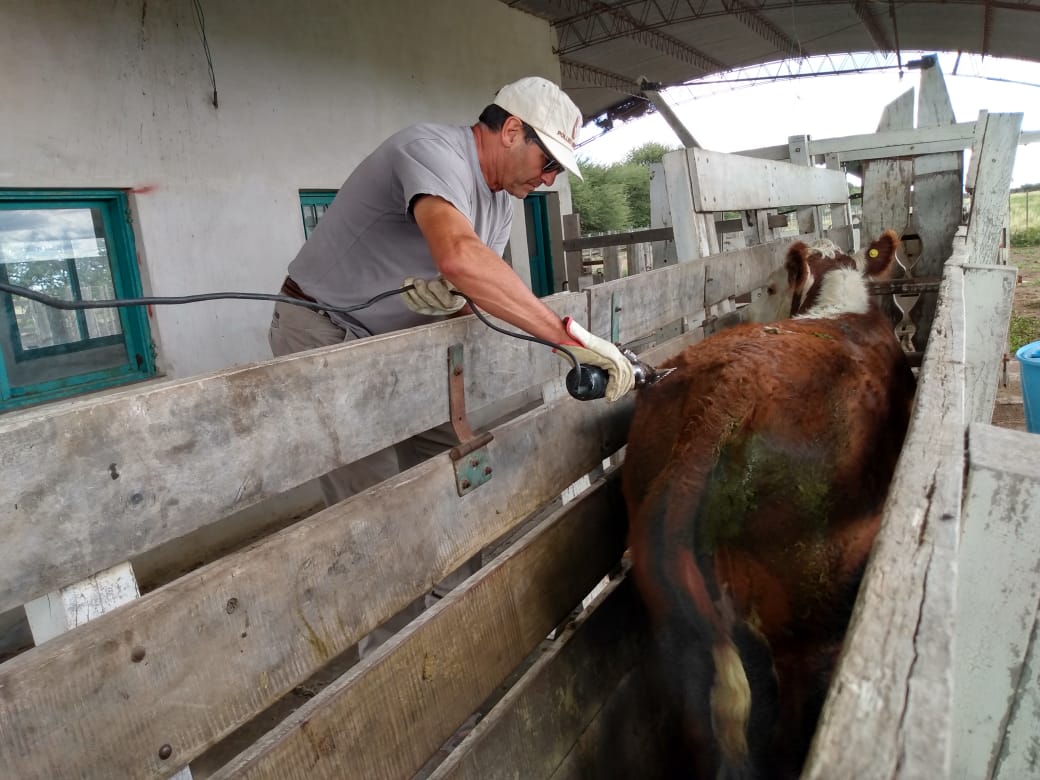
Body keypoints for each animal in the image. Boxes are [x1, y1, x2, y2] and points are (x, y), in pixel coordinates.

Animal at [619, 228, 915, 777]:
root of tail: (729, 389)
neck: (840, 305)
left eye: (774, 286)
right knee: (787, 726)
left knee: (698, 723)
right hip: (807, 614)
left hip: (674, 620)